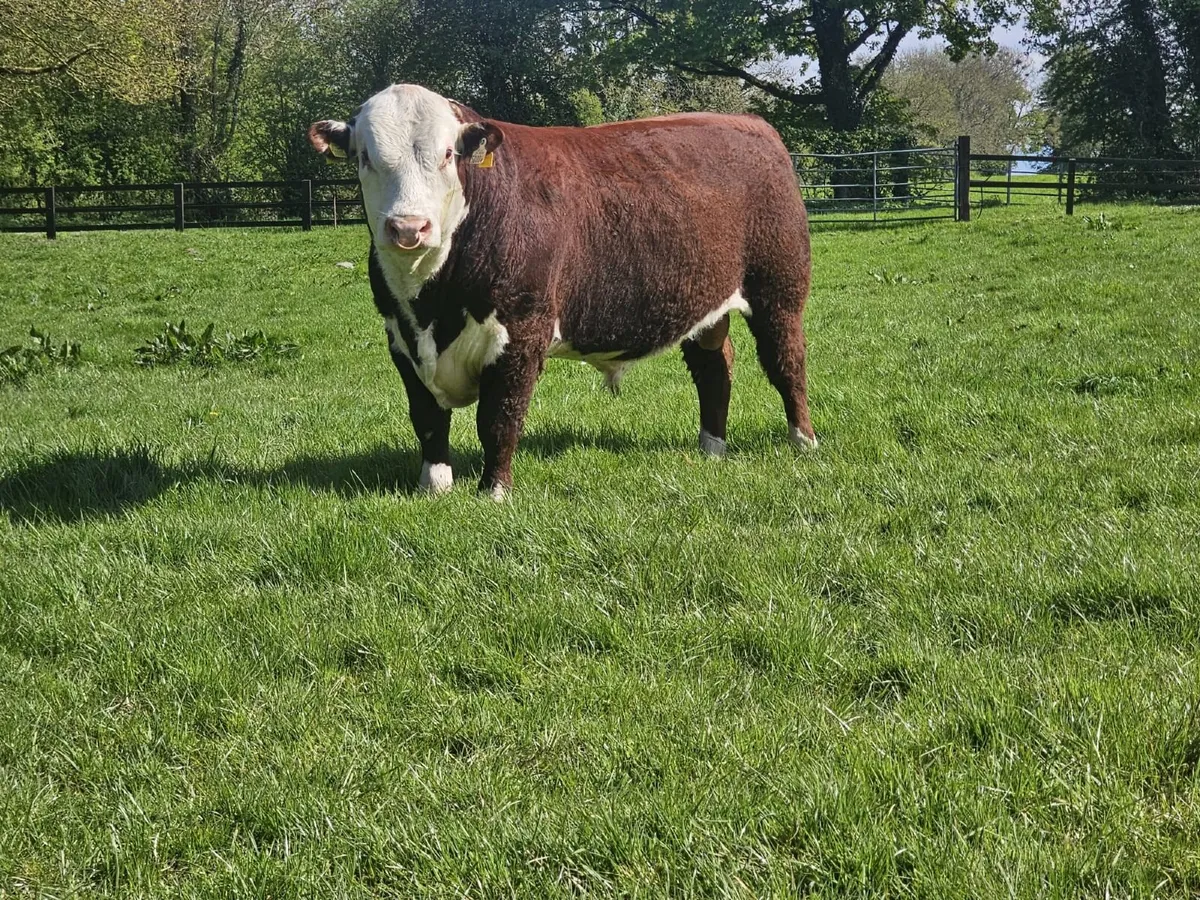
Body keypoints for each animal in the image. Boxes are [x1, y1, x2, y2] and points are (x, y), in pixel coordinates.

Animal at [309, 83, 815, 499]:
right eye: (365, 157)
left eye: (448, 154)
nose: (409, 227)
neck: (433, 305)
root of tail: (749, 124)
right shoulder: (400, 336)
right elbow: (428, 419)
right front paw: (434, 487)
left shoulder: (521, 332)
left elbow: (499, 417)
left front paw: (494, 492)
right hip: (705, 303)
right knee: (713, 367)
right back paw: (712, 448)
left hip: (778, 289)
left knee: (786, 362)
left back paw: (803, 440)